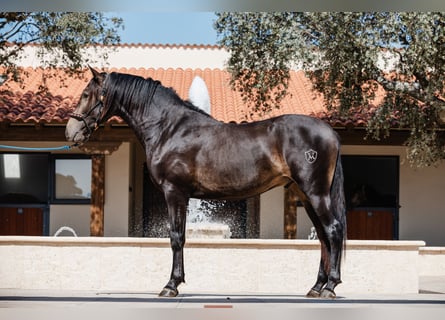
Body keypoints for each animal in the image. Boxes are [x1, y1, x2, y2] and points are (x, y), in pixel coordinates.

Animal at [65, 68, 346, 300]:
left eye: (87, 94)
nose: (70, 131)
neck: (169, 128)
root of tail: (330, 132)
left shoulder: (175, 193)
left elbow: (176, 237)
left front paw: (171, 285)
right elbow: (180, 236)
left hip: (316, 193)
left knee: (333, 231)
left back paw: (330, 287)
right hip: (306, 195)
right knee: (323, 236)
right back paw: (316, 287)